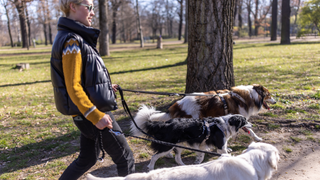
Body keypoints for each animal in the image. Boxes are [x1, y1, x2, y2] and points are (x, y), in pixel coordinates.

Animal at [145, 84, 276, 142]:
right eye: (269, 95)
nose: (275, 102)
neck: (249, 97)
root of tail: (177, 104)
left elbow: (250, 131)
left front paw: (257, 138)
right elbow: (250, 130)